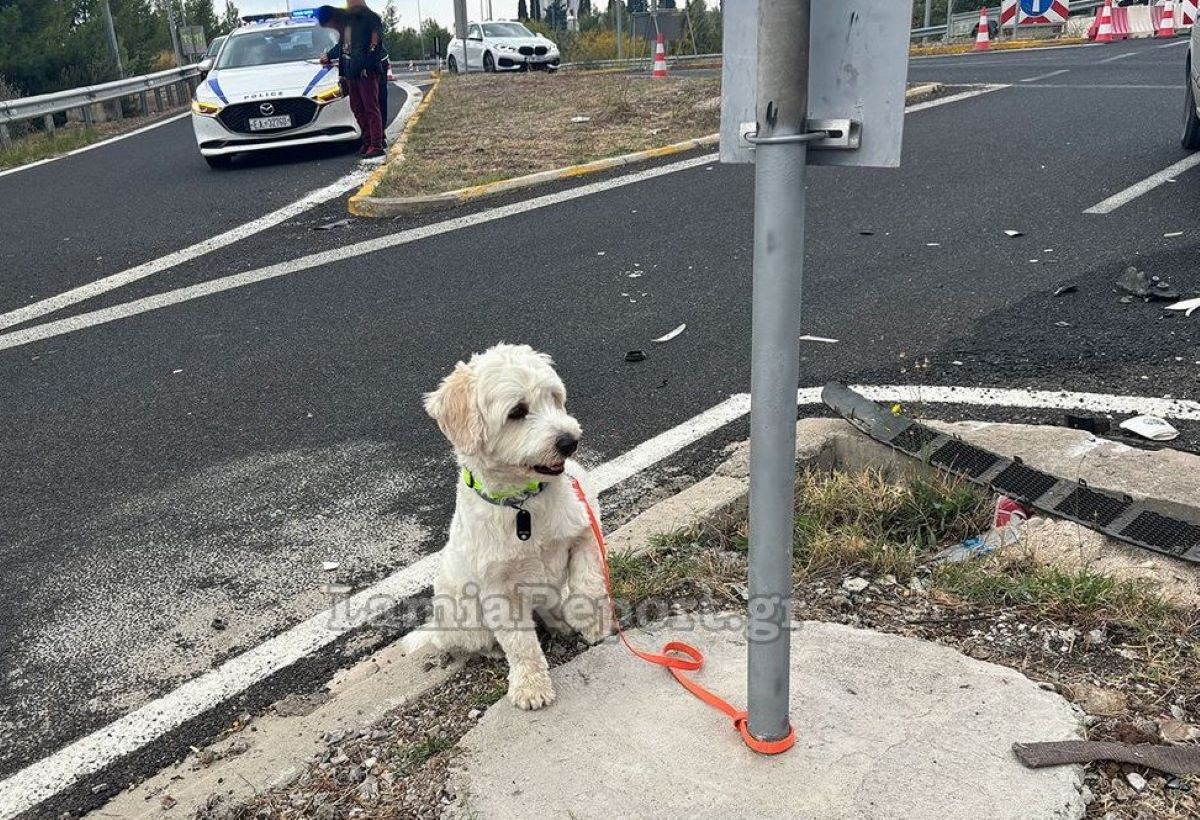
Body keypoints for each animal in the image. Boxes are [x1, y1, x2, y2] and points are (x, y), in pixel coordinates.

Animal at [403, 343, 614, 710]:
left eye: (554, 398)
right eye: (517, 411)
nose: (569, 441)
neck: (523, 504)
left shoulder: (585, 530)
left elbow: (587, 583)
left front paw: (589, 623)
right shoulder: (498, 590)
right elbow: (519, 643)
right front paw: (530, 686)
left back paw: (561, 622)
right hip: (464, 615)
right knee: (477, 641)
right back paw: (493, 651)